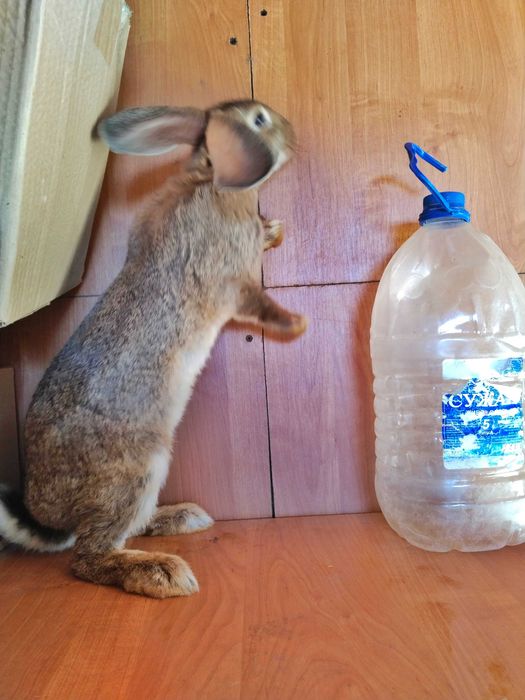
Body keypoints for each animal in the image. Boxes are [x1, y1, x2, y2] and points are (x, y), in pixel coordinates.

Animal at [0, 99, 306, 598]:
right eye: (259, 120)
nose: (293, 134)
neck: (209, 181)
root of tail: (45, 512)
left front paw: (273, 229)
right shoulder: (231, 283)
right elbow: (258, 305)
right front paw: (298, 323)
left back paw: (184, 518)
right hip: (138, 469)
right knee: (89, 556)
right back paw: (163, 574)